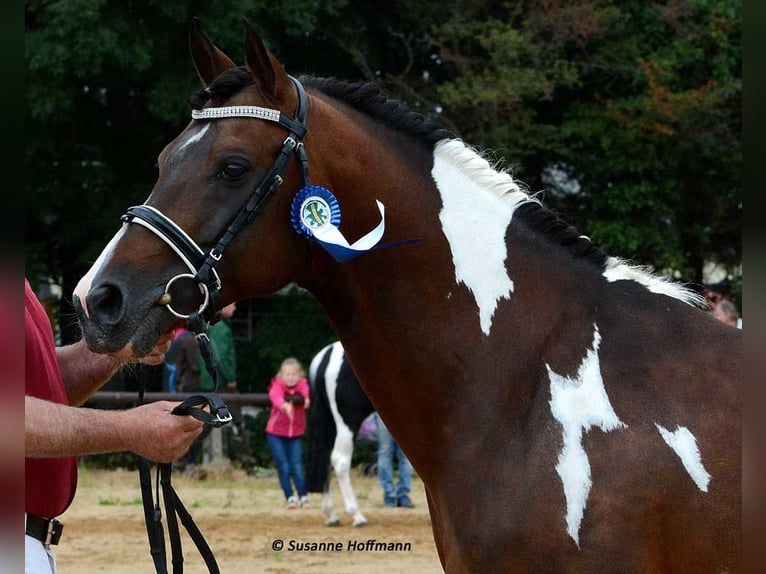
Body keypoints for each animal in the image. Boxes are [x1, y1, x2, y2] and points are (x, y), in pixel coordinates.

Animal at [306, 340, 378, 528]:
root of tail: (327, 356)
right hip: (348, 422)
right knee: (340, 460)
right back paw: (356, 515)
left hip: (329, 422)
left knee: (325, 460)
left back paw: (331, 515)